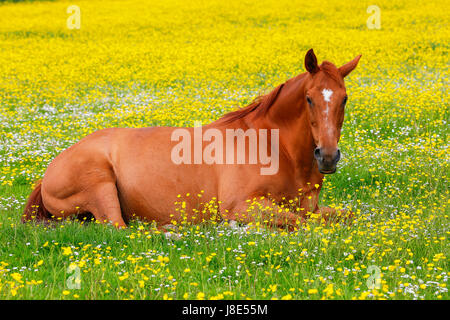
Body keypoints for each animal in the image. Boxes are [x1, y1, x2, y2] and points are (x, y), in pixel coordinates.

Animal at [23, 49, 362, 230]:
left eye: (344, 99)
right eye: (309, 98)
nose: (327, 156)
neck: (275, 149)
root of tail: (49, 170)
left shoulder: (313, 207)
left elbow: (344, 216)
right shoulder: (241, 207)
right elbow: (302, 223)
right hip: (99, 185)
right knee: (119, 228)